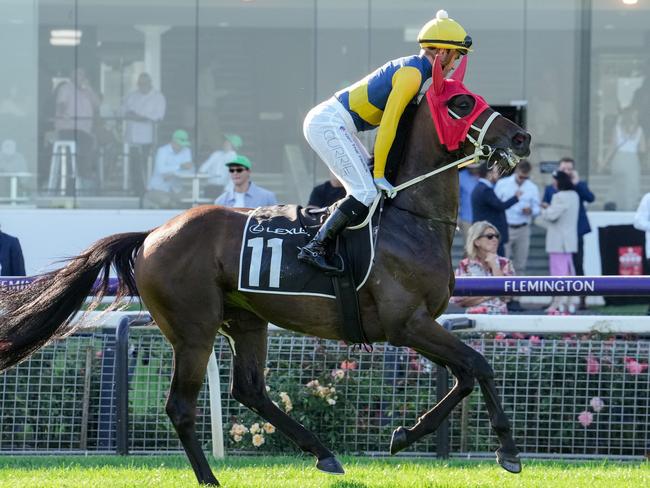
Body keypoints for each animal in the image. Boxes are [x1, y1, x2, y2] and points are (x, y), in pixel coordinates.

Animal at [0, 80, 528, 484]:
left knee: (249, 390)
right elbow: (479, 365)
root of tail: (151, 234)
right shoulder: (407, 324)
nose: (521, 138)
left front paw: (405, 434)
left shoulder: (418, 326)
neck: (408, 219)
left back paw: (323, 452)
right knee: (181, 406)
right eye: (461, 102)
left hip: (246, 321)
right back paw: (210, 478)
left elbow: (464, 375)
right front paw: (507, 450)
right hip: (194, 329)